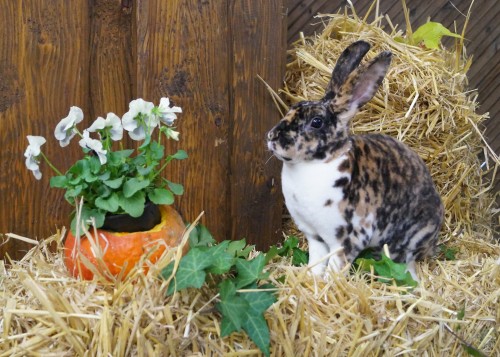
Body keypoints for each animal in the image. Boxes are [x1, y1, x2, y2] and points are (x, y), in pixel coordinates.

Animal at [268, 39, 444, 278]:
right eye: (293, 108)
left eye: (316, 122)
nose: (272, 137)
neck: (315, 164)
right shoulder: (314, 237)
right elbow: (315, 263)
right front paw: (310, 280)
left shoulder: (346, 241)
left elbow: (334, 270)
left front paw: (327, 284)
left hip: (404, 244)